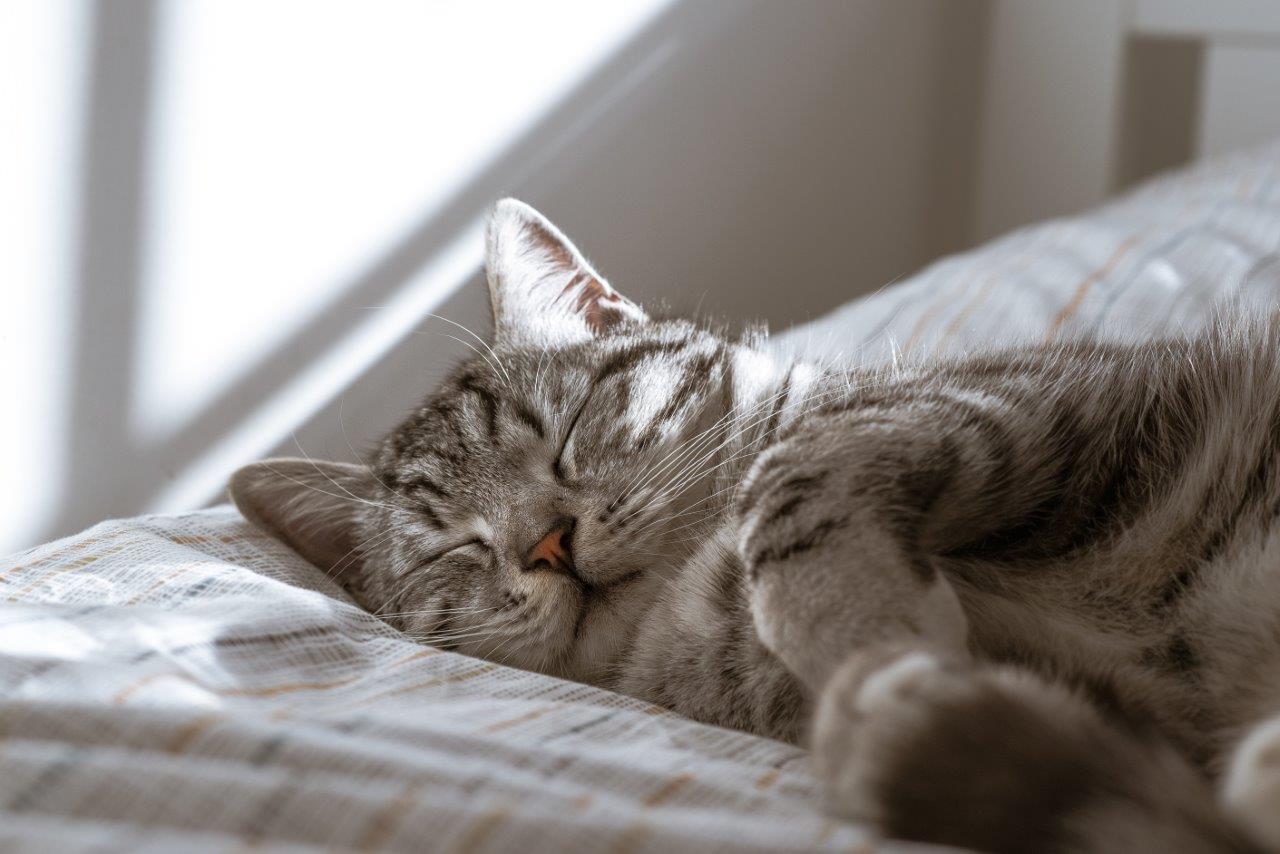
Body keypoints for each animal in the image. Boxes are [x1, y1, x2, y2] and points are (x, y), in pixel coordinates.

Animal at [230, 201, 1280, 854]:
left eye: (563, 435)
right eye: (456, 545)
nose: (546, 545)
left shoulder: (1005, 401)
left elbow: (792, 487)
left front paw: (862, 627)